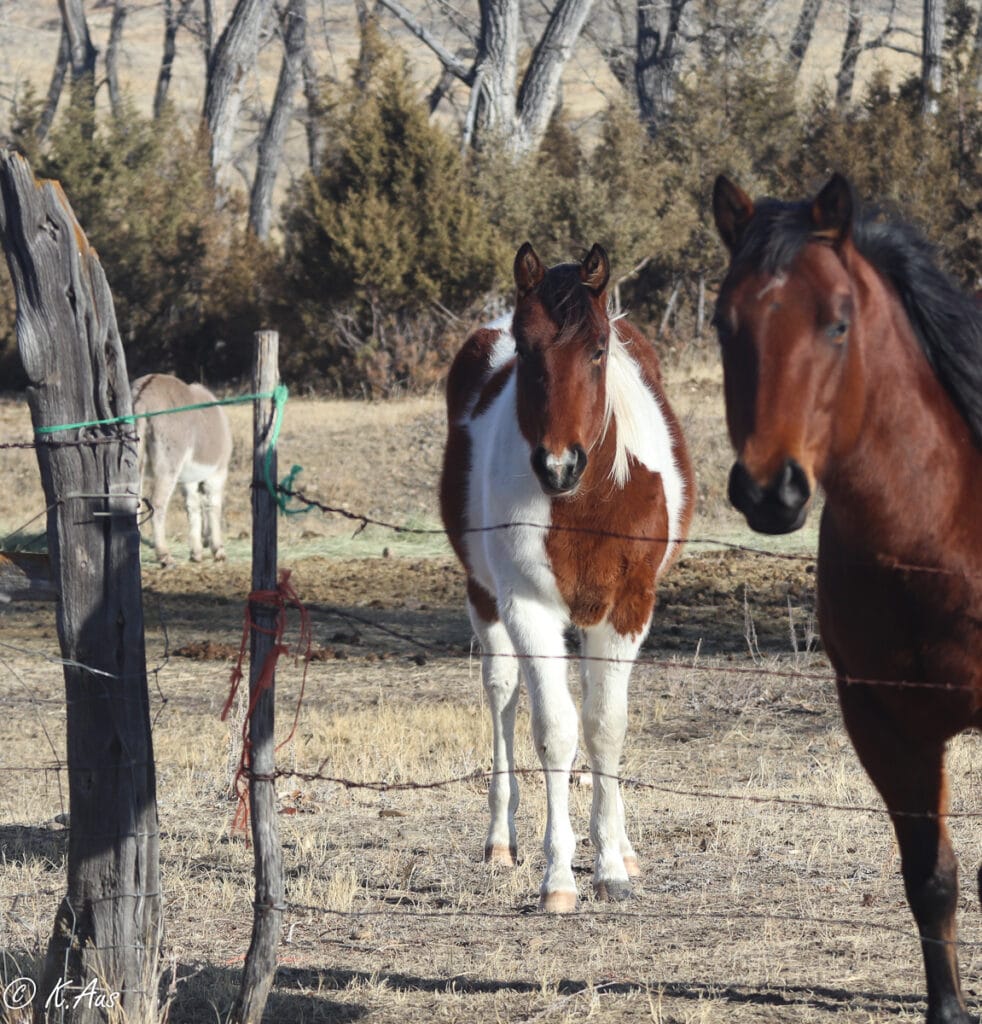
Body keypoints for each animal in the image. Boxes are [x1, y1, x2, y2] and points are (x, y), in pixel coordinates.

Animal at [131, 373, 233, 567]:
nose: (206, 543)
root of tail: (143, 395)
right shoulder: (218, 473)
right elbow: (213, 506)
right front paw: (218, 550)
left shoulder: (189, 479)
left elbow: (192, 508)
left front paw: (197, 552)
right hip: (168, 466)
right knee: (157, 504)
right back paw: (164, 556)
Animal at [440, 242, 694, 912]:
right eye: (526, 350)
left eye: (599, 349)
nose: (558, 466)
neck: (584, 504)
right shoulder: (528, 607)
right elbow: (555, 732)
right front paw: (558, 878)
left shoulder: (627, 608)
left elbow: (606, 727)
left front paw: (610, 867)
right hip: (486, 600)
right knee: (502, 694)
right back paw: (500, 841)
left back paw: (624, 851)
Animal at [712, 173, 982, 1023]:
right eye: (723, 322)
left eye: (837, 323)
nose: (771, 490)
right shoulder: (883, 724)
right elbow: (930, 879)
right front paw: (948, 1009)